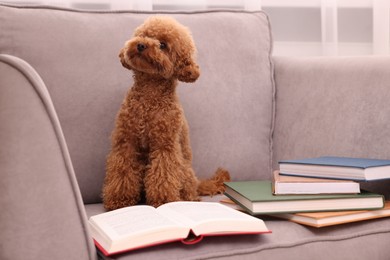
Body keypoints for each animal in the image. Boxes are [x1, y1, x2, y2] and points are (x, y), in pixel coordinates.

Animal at [102, 15, 230, 210]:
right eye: (144, 35)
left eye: (163, 45)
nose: (141, 45)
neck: (149, 97)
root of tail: (197, 182)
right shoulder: (126, 142)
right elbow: (122, 171)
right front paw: (120, 200)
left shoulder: (165, 146)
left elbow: (163, 174)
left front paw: (163, 201)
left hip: (185, 171)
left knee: (188, 192)